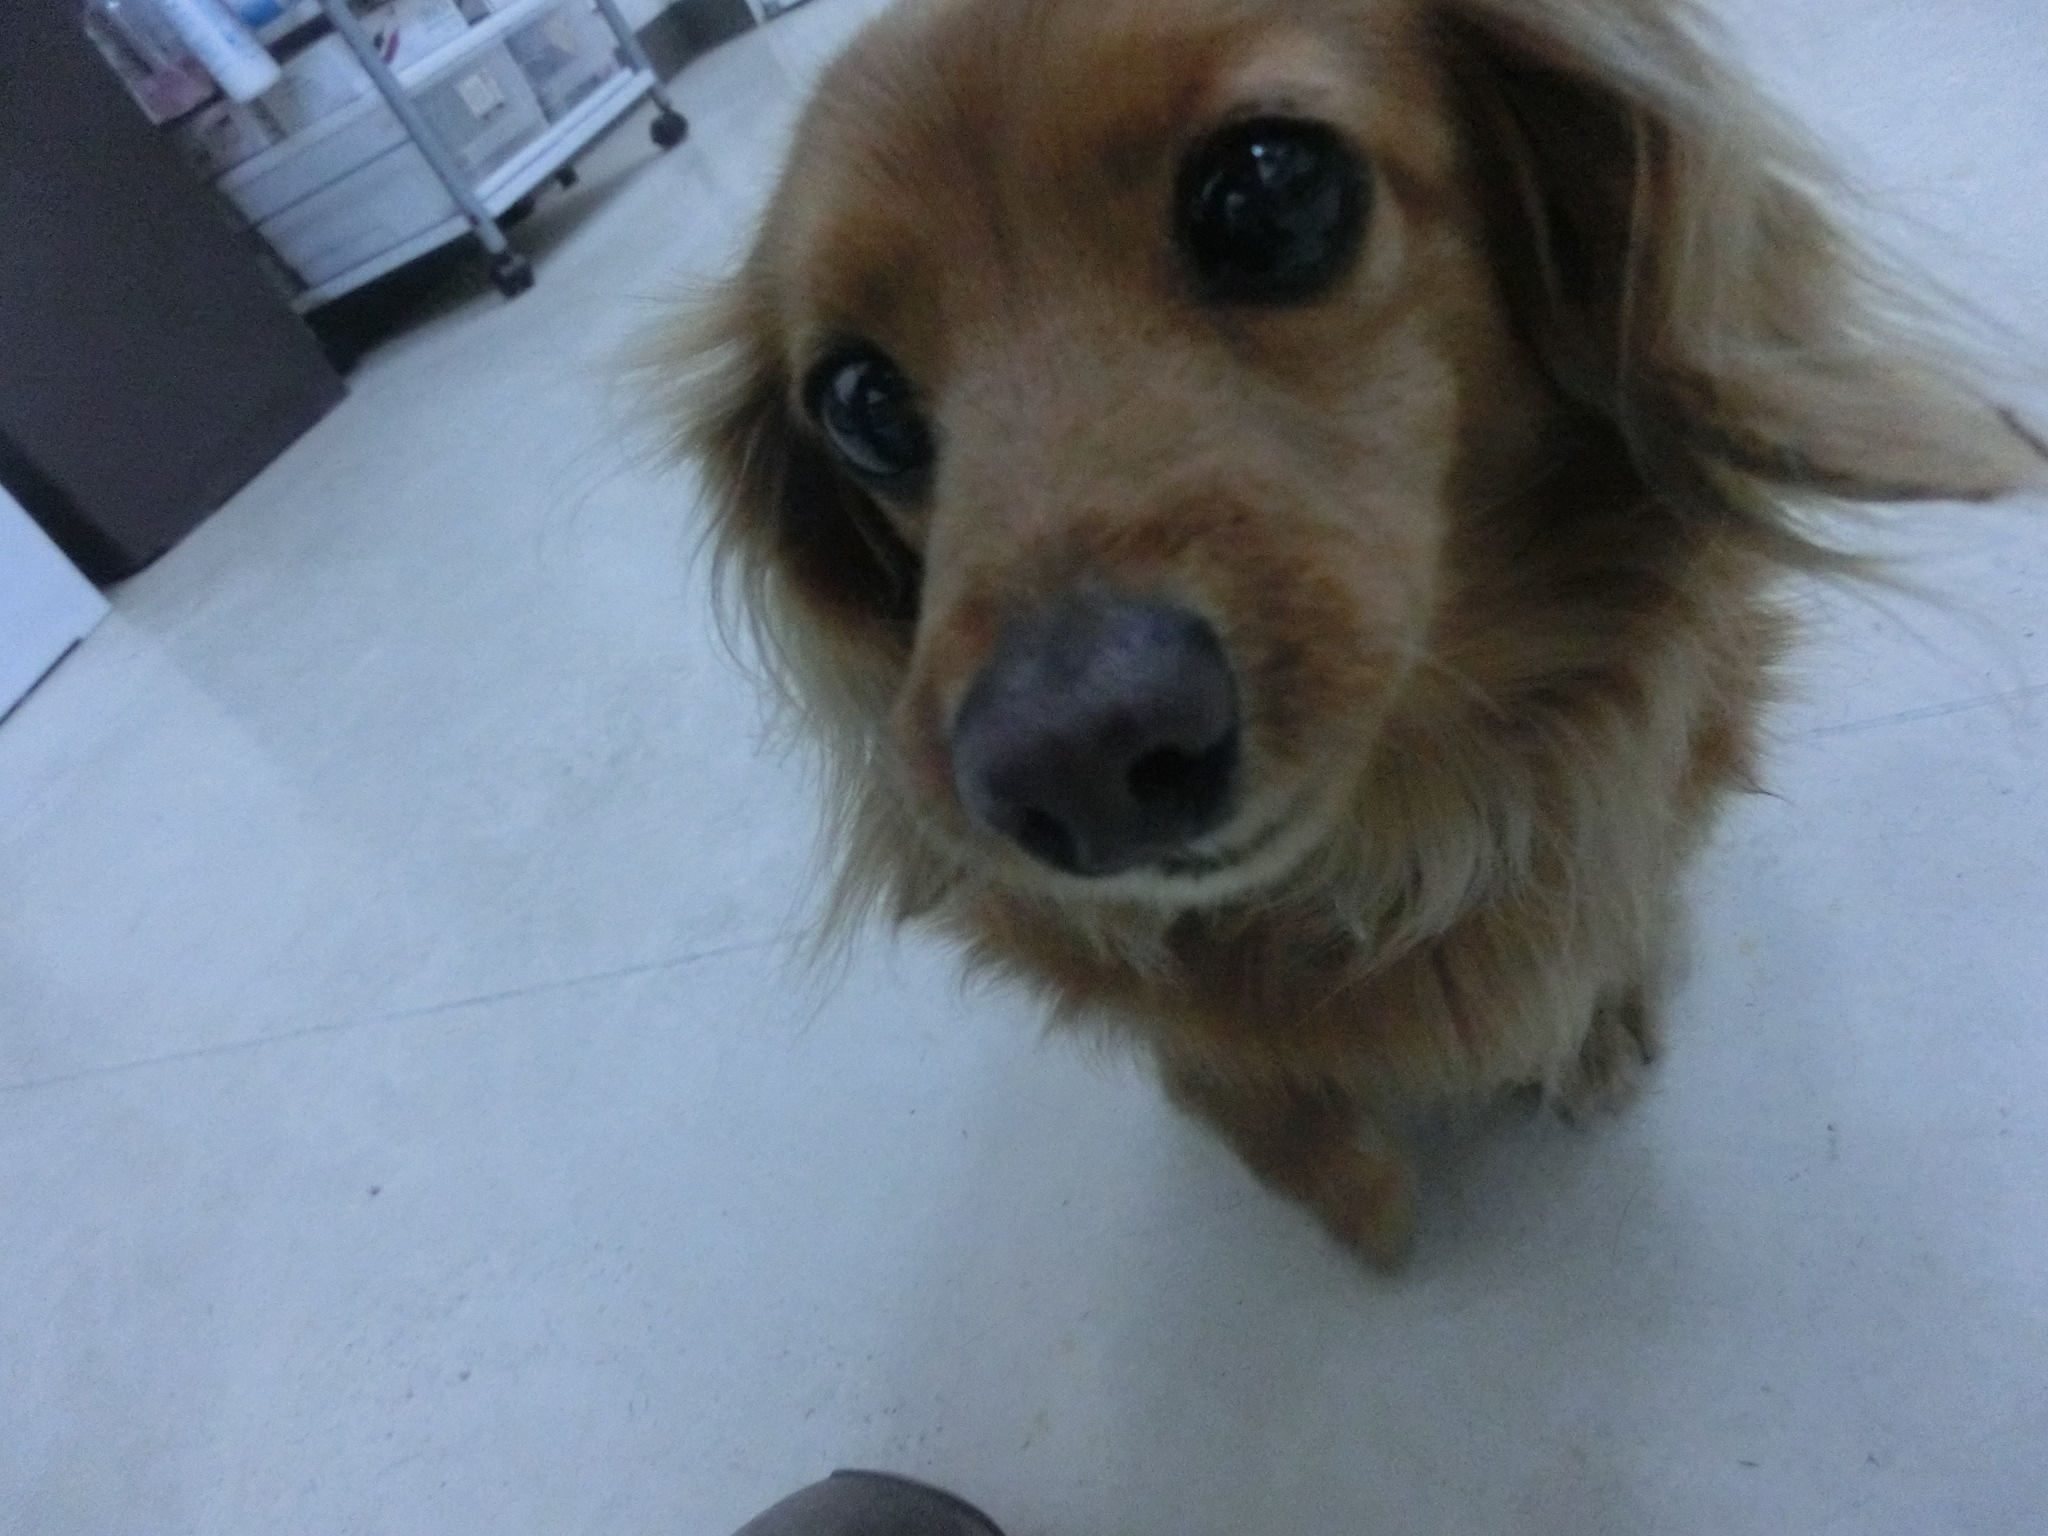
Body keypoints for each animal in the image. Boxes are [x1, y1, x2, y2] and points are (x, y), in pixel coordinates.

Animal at [657, 0, 2043, 1268]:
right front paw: (1352, 1197)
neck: (1404, 843)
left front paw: (1588, 1021)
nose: (1074, 762)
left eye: (1266, 189)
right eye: (857, 403)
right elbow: (1248, 1098)